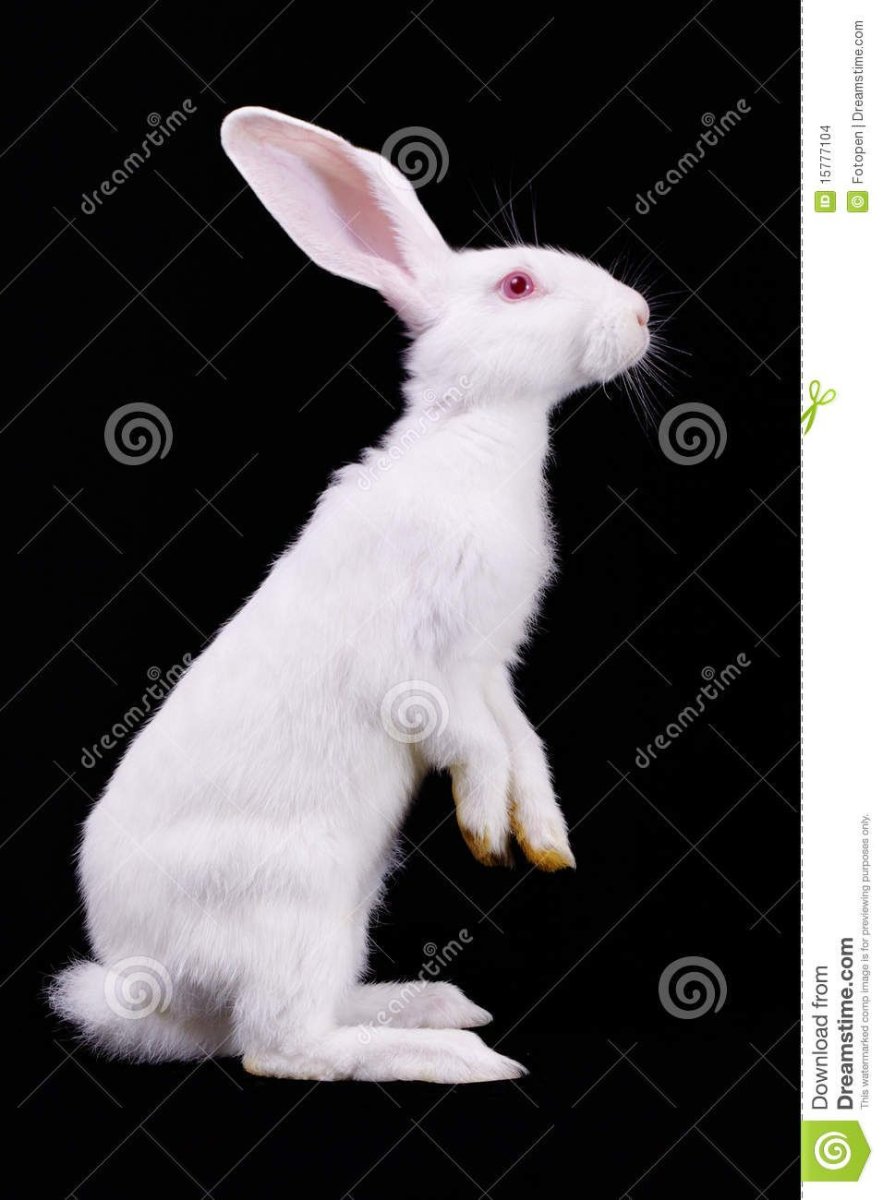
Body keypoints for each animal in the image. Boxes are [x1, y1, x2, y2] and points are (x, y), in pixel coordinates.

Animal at [50, 108, 650, 1084]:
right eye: (518, 284)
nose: (638, 315)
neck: (473, 439)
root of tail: (147, 981)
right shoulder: (420, 670)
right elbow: (473, 744)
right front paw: (486, 830)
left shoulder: (489, 667)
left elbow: (520, 743)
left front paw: (542, 840)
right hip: (295, 909)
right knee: (281, 1048)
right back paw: (459, 1057)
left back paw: (439, 1005)